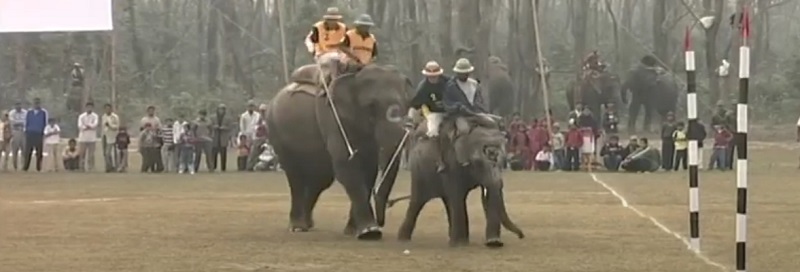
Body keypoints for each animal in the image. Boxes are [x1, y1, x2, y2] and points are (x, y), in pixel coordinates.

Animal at [388, 116, 524, 248]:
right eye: (478, 163)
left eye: (504, 162)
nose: (521, 235)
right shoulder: (451, 163)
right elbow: (457, 195)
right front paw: (460, 244)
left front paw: (493, 243)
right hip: (418, 170)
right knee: (418, 201)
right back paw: (403, 239)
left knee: (446, 200)